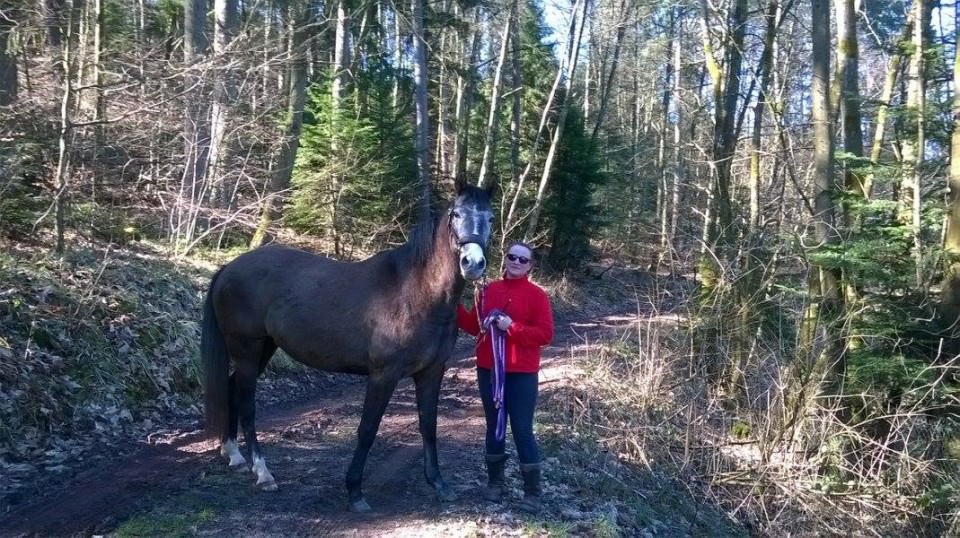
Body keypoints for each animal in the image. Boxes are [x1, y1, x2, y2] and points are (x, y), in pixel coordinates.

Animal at [198, 182, 492, 508]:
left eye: (490, 218)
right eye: (456, 215)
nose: (473, 264)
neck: (416, 293)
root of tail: (229, 268)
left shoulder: (431, 372)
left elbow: (428, 425)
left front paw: (438, 483)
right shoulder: (383, 376)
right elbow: (367, 429)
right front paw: (354, 491)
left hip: (264, 348)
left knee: (231, 389)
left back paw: (234, 454)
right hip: (247, 349)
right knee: (247, 404)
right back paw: (263, 473)